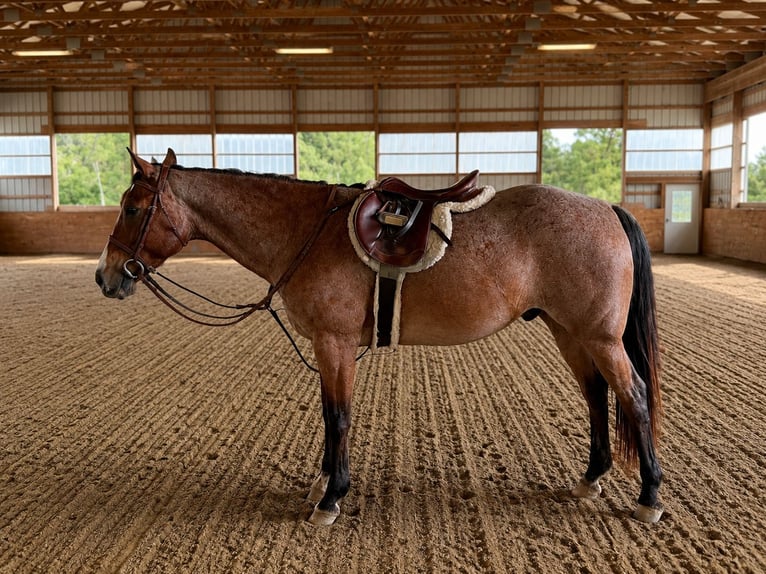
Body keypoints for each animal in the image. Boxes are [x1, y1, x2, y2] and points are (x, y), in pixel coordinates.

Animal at [95, 148, 663, 526]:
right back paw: (591, 478)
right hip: (570, 331)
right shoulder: (329, 347)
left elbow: (338, 415)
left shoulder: (334, 342)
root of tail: (606, 208)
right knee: (596, 395)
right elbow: (330, 413)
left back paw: (649, 498)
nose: (105, 276)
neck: (306, 230)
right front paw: (323, 481)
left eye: (131, 208)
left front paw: (331, 499)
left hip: (600, 337)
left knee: (633, 397)